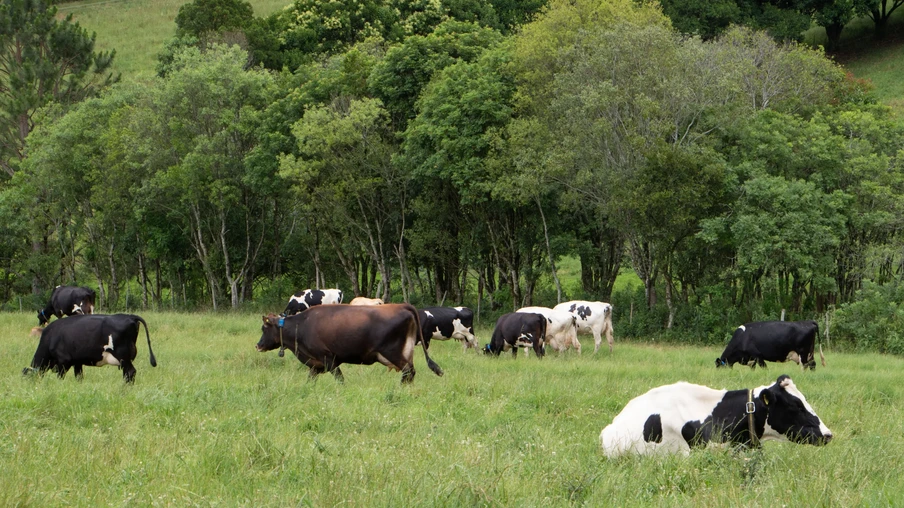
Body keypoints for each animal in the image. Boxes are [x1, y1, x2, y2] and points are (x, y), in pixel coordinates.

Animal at [23, 314, 157, 383]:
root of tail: (130, 316)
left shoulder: (63, 361)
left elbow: (60, 377)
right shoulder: (77, 362)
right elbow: (79, 377)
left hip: (123, 356)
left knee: (130, 372)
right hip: (125, 359)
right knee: (128, 374)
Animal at [256, 303, 443, 384]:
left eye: (264, 328)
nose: (258, 345)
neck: (301, 326)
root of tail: (402, 305)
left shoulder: (328, 359)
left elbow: (340, 379)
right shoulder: (315, 364)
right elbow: (310, 380)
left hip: (393, 352)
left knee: (408, 371)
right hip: (406, 351)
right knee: (409, 373)